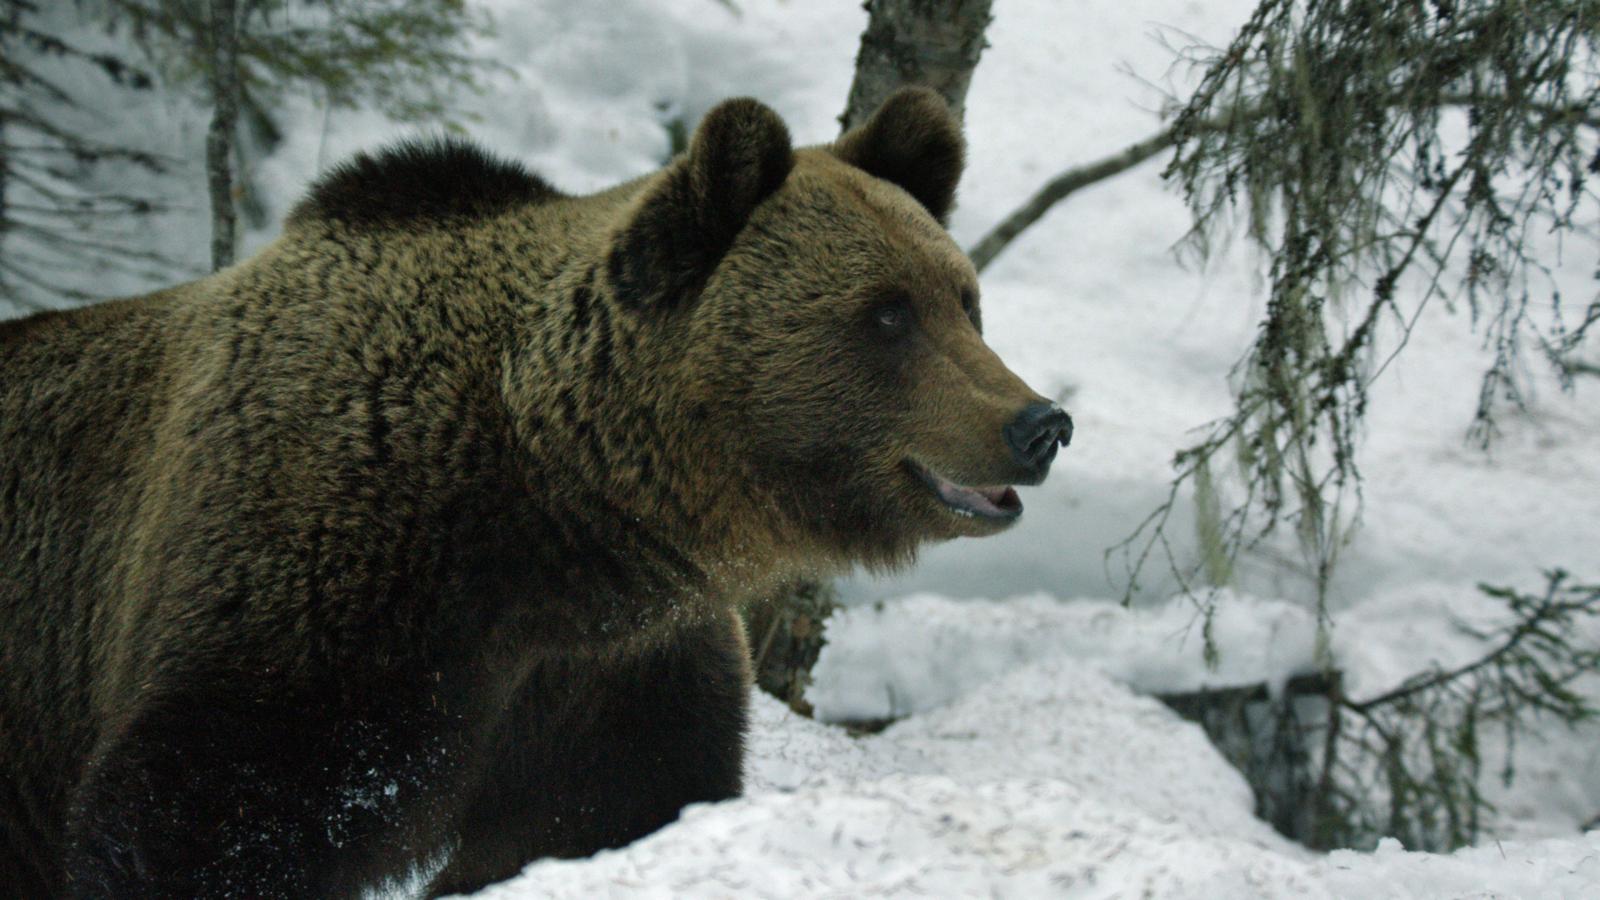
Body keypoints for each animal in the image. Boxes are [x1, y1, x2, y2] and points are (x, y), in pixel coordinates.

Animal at [3, 85, 1075, 896]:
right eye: (886, 314)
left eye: (964, 301)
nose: (1040, 424)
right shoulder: (316, 590)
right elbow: (205, 813)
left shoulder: (614, 666)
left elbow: (604, 809)